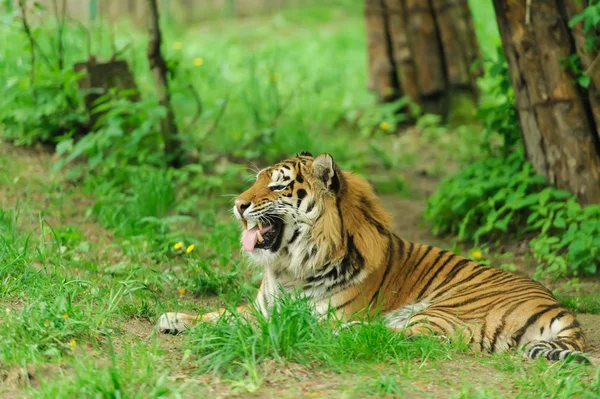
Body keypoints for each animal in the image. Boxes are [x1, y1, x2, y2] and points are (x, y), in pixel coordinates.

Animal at [158, 151, 584, 362]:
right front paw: (174, 318)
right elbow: (221, 312)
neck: (289, 266)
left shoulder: (317, 311)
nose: (238, 204)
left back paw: (346, 334)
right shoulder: (264, 305)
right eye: (257, 179)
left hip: (446, 309)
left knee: (411, 339)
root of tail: (558, 306)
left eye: (277, 185)